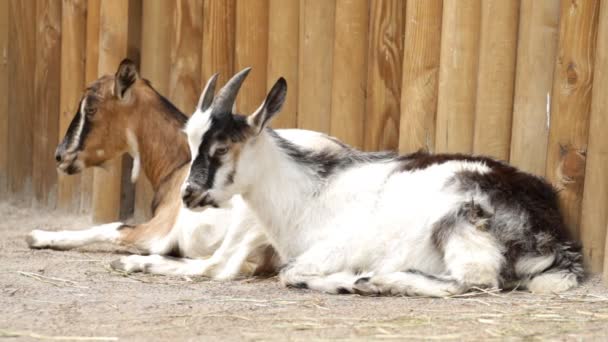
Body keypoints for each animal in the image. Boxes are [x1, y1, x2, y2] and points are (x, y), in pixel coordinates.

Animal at [26, 60, 350, 280]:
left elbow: (111, 227)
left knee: (222, 266)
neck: (178, 166)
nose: (61, 155)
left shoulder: (156, 232)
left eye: (91, 109)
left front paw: (38, 236)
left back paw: (132, 263)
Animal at [182, 69, 584, 296]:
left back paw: (379, 281)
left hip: (457, 222)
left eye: (221, 148)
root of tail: (554, 235)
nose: (188, 195)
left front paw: (346, 281)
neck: (309, 194)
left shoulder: (337, 246)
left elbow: (290, 273)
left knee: (475, 280)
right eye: (190, 142)